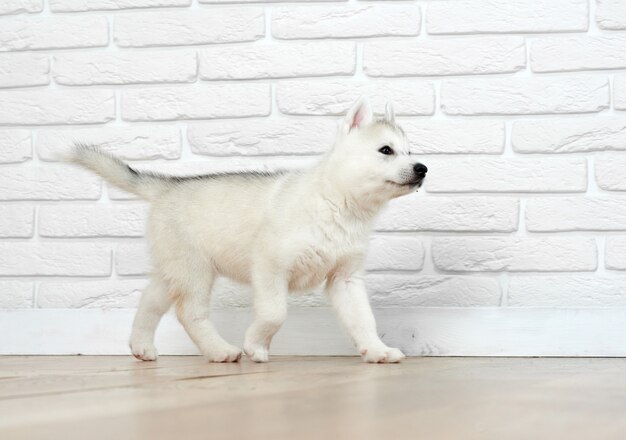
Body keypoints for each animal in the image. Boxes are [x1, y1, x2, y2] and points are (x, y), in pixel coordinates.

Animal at [70, 99, 426, 364]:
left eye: (409, 152)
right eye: (386, 150)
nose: (422, 168)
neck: (340, 205)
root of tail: (168, 187)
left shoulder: (346, 278)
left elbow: (363, 319)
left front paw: (376, 350)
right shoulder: (270, 267)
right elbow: (274, 314)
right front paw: (255, 345)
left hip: (173, 271)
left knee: (150, 302)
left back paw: (141, 346)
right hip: (195, 270)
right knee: (189, 313)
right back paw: (219, 351)